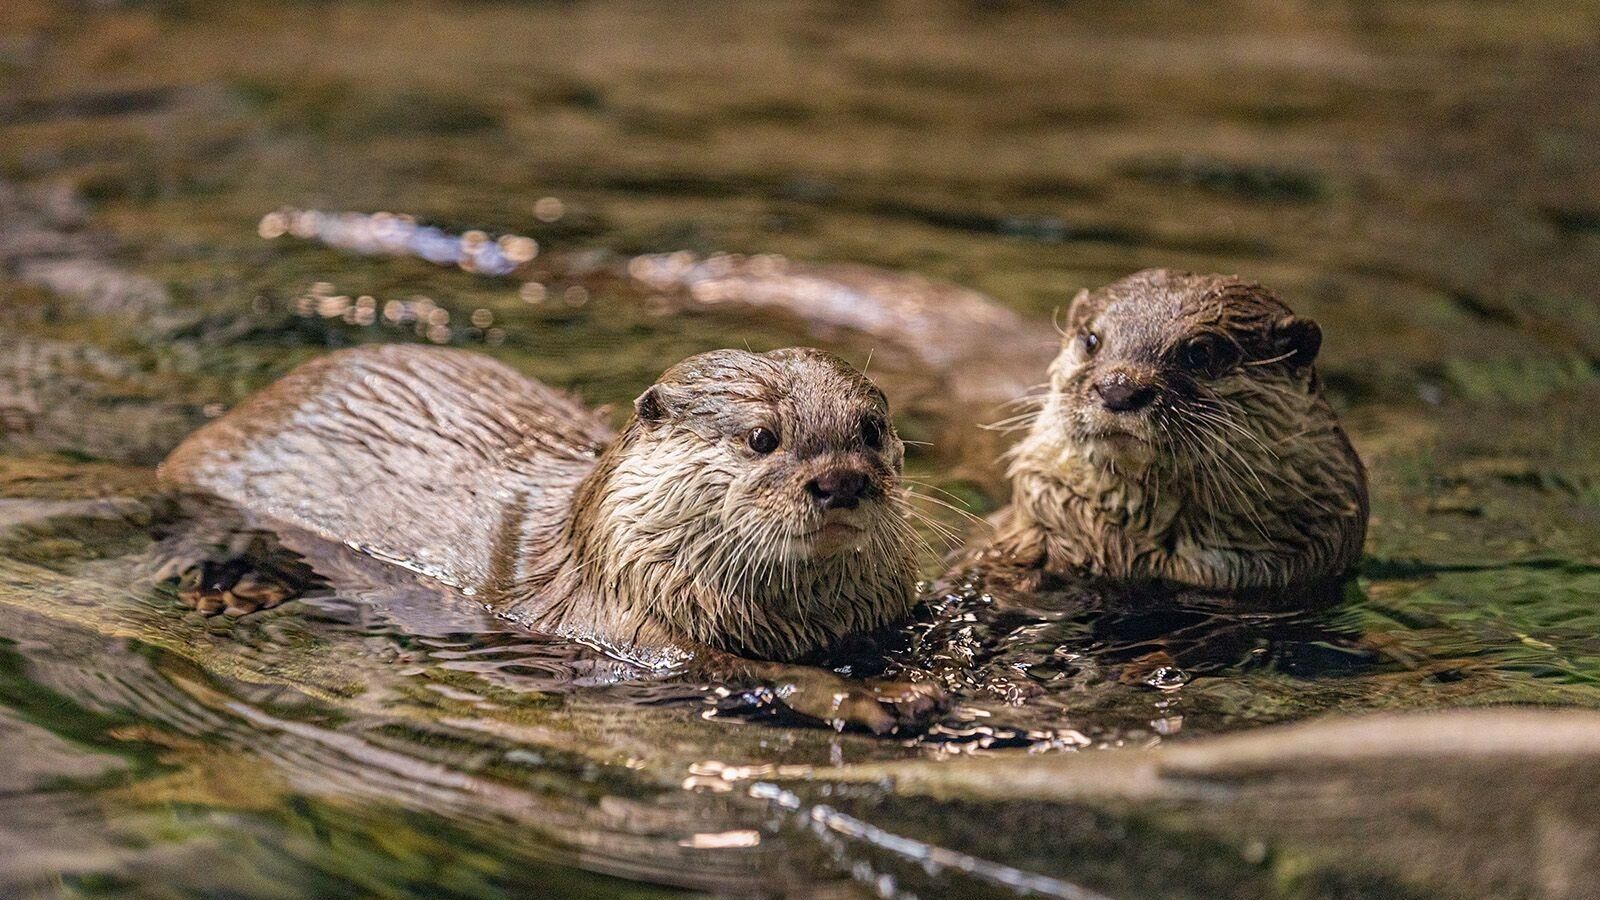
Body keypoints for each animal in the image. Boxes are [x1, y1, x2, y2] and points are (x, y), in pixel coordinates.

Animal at [162, 342, 934, 730]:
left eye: (870, 430)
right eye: (762, 437)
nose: (840, 481)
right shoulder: (626, 628)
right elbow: (743, 671)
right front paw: (869, 698)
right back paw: (231, 588)